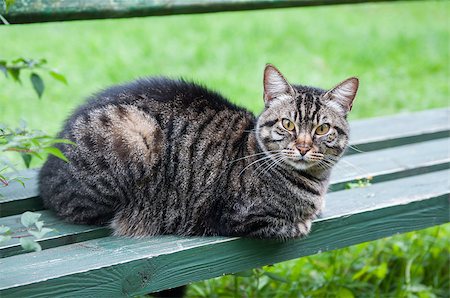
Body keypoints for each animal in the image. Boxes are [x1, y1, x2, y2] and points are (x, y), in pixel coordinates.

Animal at [38, 64, 358, 240]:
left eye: (322, 129)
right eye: (287, 124)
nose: (303, 147)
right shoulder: (238, 216)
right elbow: (295, 225)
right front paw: (304, 220)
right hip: (135, 132)